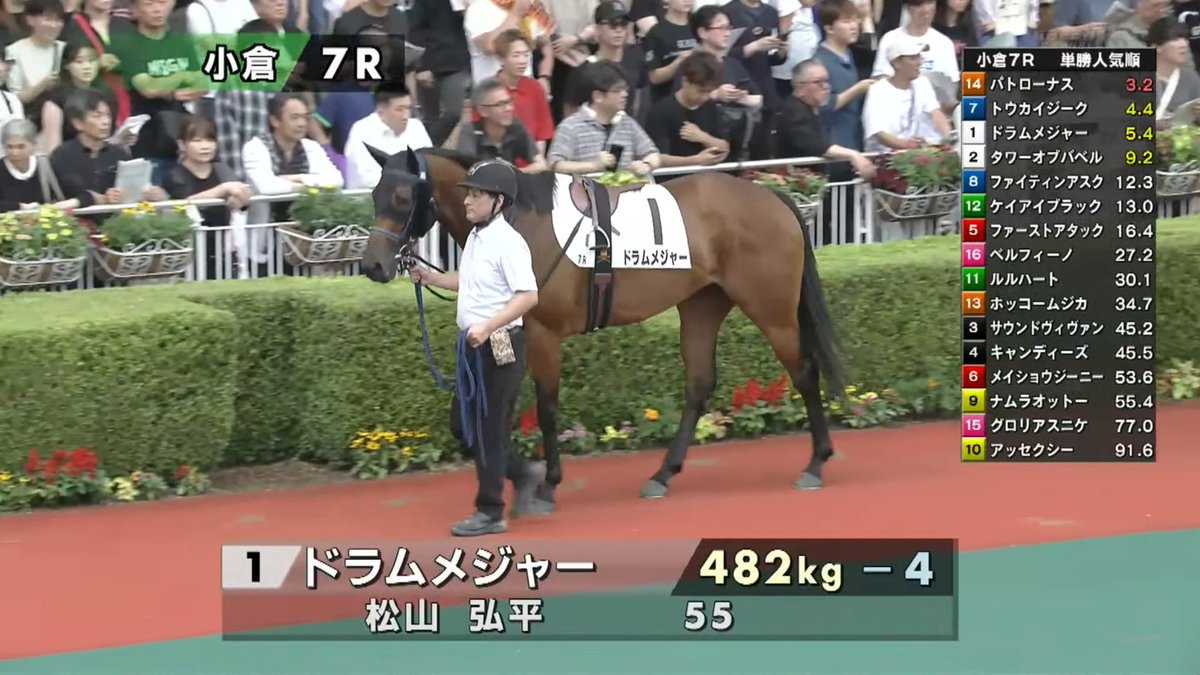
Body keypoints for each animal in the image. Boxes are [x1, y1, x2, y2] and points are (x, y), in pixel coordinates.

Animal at [360, 146, 846, 514]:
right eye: (374, 193)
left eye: (402, 196)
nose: (373, 266)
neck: (519, 221)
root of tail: (774, 198)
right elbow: (474, 416)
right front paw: (525, 475)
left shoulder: (540, 333)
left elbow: (545, 410)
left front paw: (547, 481)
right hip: (702, 305)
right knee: (699, 385)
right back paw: (662, 474)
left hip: (771, 309)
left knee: (804, 372)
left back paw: (816, 462)